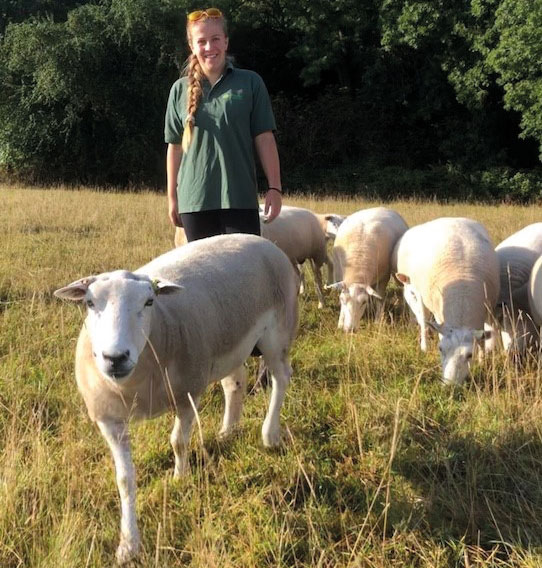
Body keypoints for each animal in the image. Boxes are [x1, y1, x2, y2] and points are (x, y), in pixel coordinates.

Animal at [53, 234, 300, 564]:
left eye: (149, 302)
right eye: (90, 303)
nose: (115, 358)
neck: (135, 384)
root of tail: (257, 238)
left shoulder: (187, 394)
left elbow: (178, 442)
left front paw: (180, 478)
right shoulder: (109, 419)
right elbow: (124, 480)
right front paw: (128, 545)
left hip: (278, 331)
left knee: (281, 377)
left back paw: (269, 434)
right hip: (229, 342)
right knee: (234, 382)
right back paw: (228, 431)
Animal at [396, 217, 502, 386]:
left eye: (469, 355)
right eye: (440, 349)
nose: (450, 386)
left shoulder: (487, 310)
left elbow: (482, 340)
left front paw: (482, 361)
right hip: (419, 293)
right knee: (423, 321)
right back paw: (424, 346)